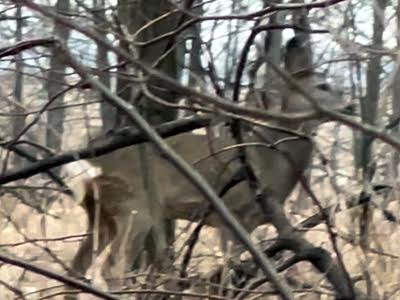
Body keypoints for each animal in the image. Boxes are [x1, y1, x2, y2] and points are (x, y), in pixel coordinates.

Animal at [66, 35, 346, 298]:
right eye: (323, 86)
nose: (349, 104)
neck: (270, 164)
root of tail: (90, 163)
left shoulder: (249, 222)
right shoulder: (232, 213)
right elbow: (227, 276)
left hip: (101, 214)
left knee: (76, 267)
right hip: (135, 205)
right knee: (112, 269)